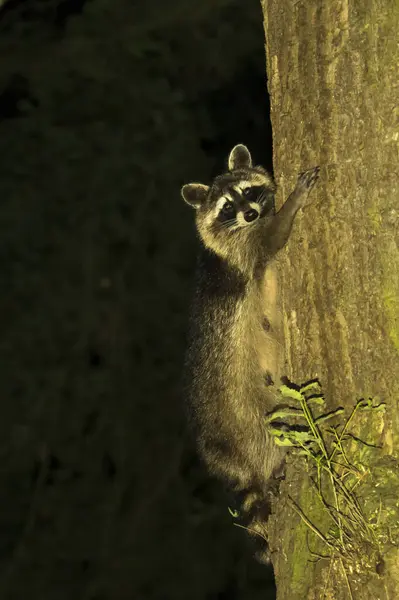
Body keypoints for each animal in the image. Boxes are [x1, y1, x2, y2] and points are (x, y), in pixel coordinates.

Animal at [183, 145, 320, 556]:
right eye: (227, 207)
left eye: (248, 191)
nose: (250, 213)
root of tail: (233, 462)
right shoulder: (244, 250)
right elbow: (273, 237)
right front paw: (294, 202)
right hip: (245, 414)